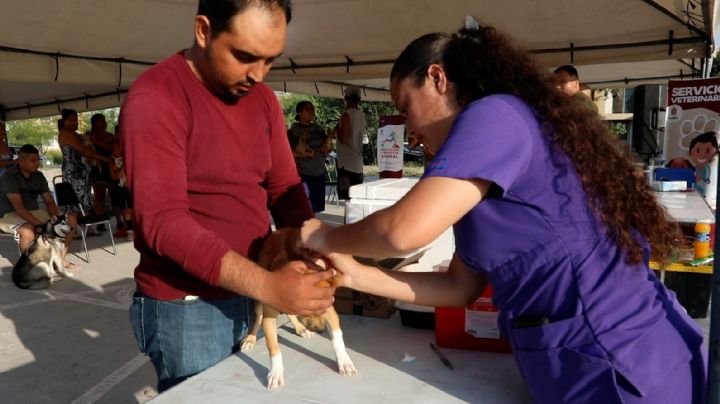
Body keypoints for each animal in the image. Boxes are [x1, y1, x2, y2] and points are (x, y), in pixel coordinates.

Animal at [240, 227, 356, 388]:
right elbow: (274, 348)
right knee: (258, 317)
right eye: (307, 310)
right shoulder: (269, 317)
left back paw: (301, 329)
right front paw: (276, 373)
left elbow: (337, 338)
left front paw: (345, 362)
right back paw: (251, 338)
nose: (321, 330)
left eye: (323, 309)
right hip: (258, 298)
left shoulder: (330, 311)